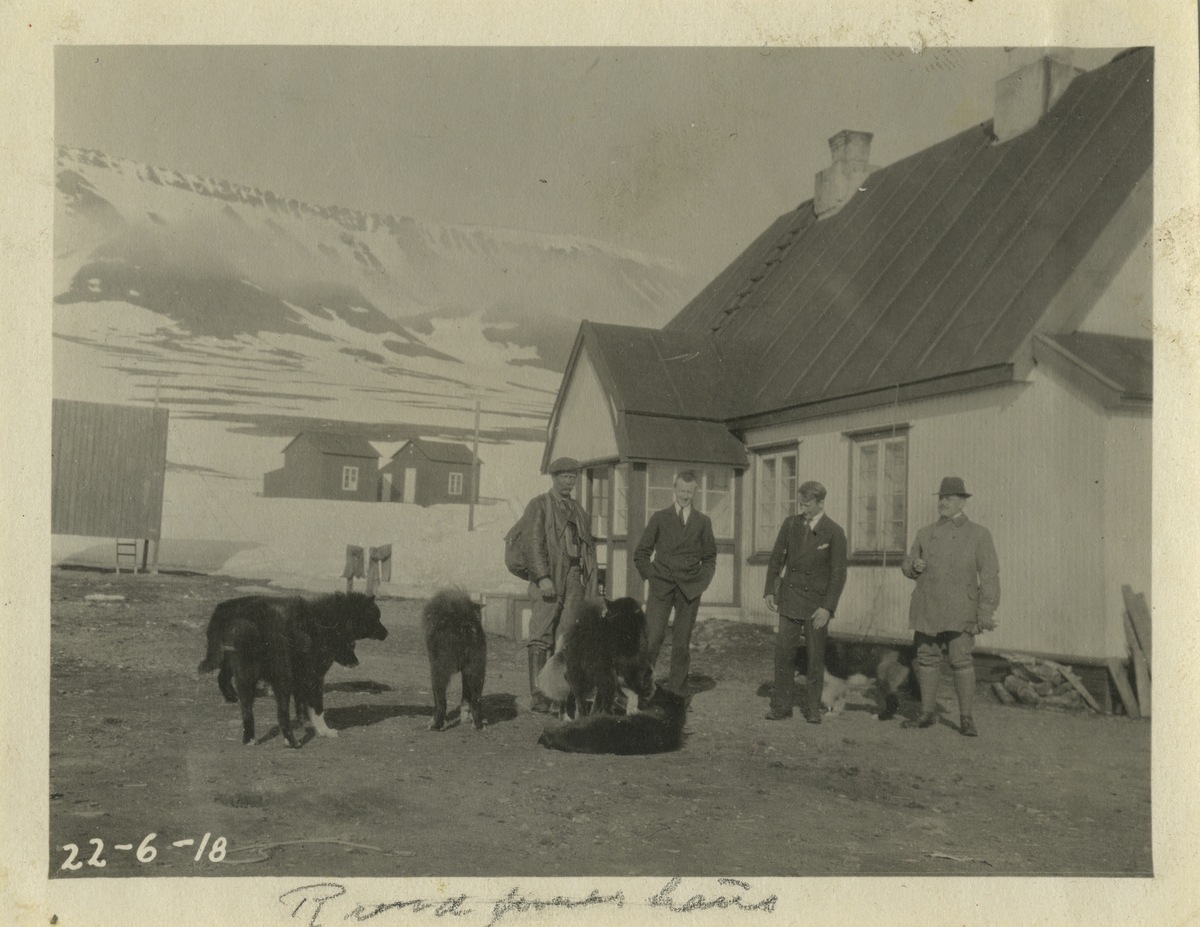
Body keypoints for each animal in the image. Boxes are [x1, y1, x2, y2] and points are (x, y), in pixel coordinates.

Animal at [422, 585, 487, 730]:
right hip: (476, 670)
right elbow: (465, 698)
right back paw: (478, 725)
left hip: (439, 672)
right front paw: (466, 718)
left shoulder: (433, 666)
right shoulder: (466, 673)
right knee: (476, 700)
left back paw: (436, 725)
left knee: (442, 702)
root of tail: (463, 625)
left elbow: (436, 699)